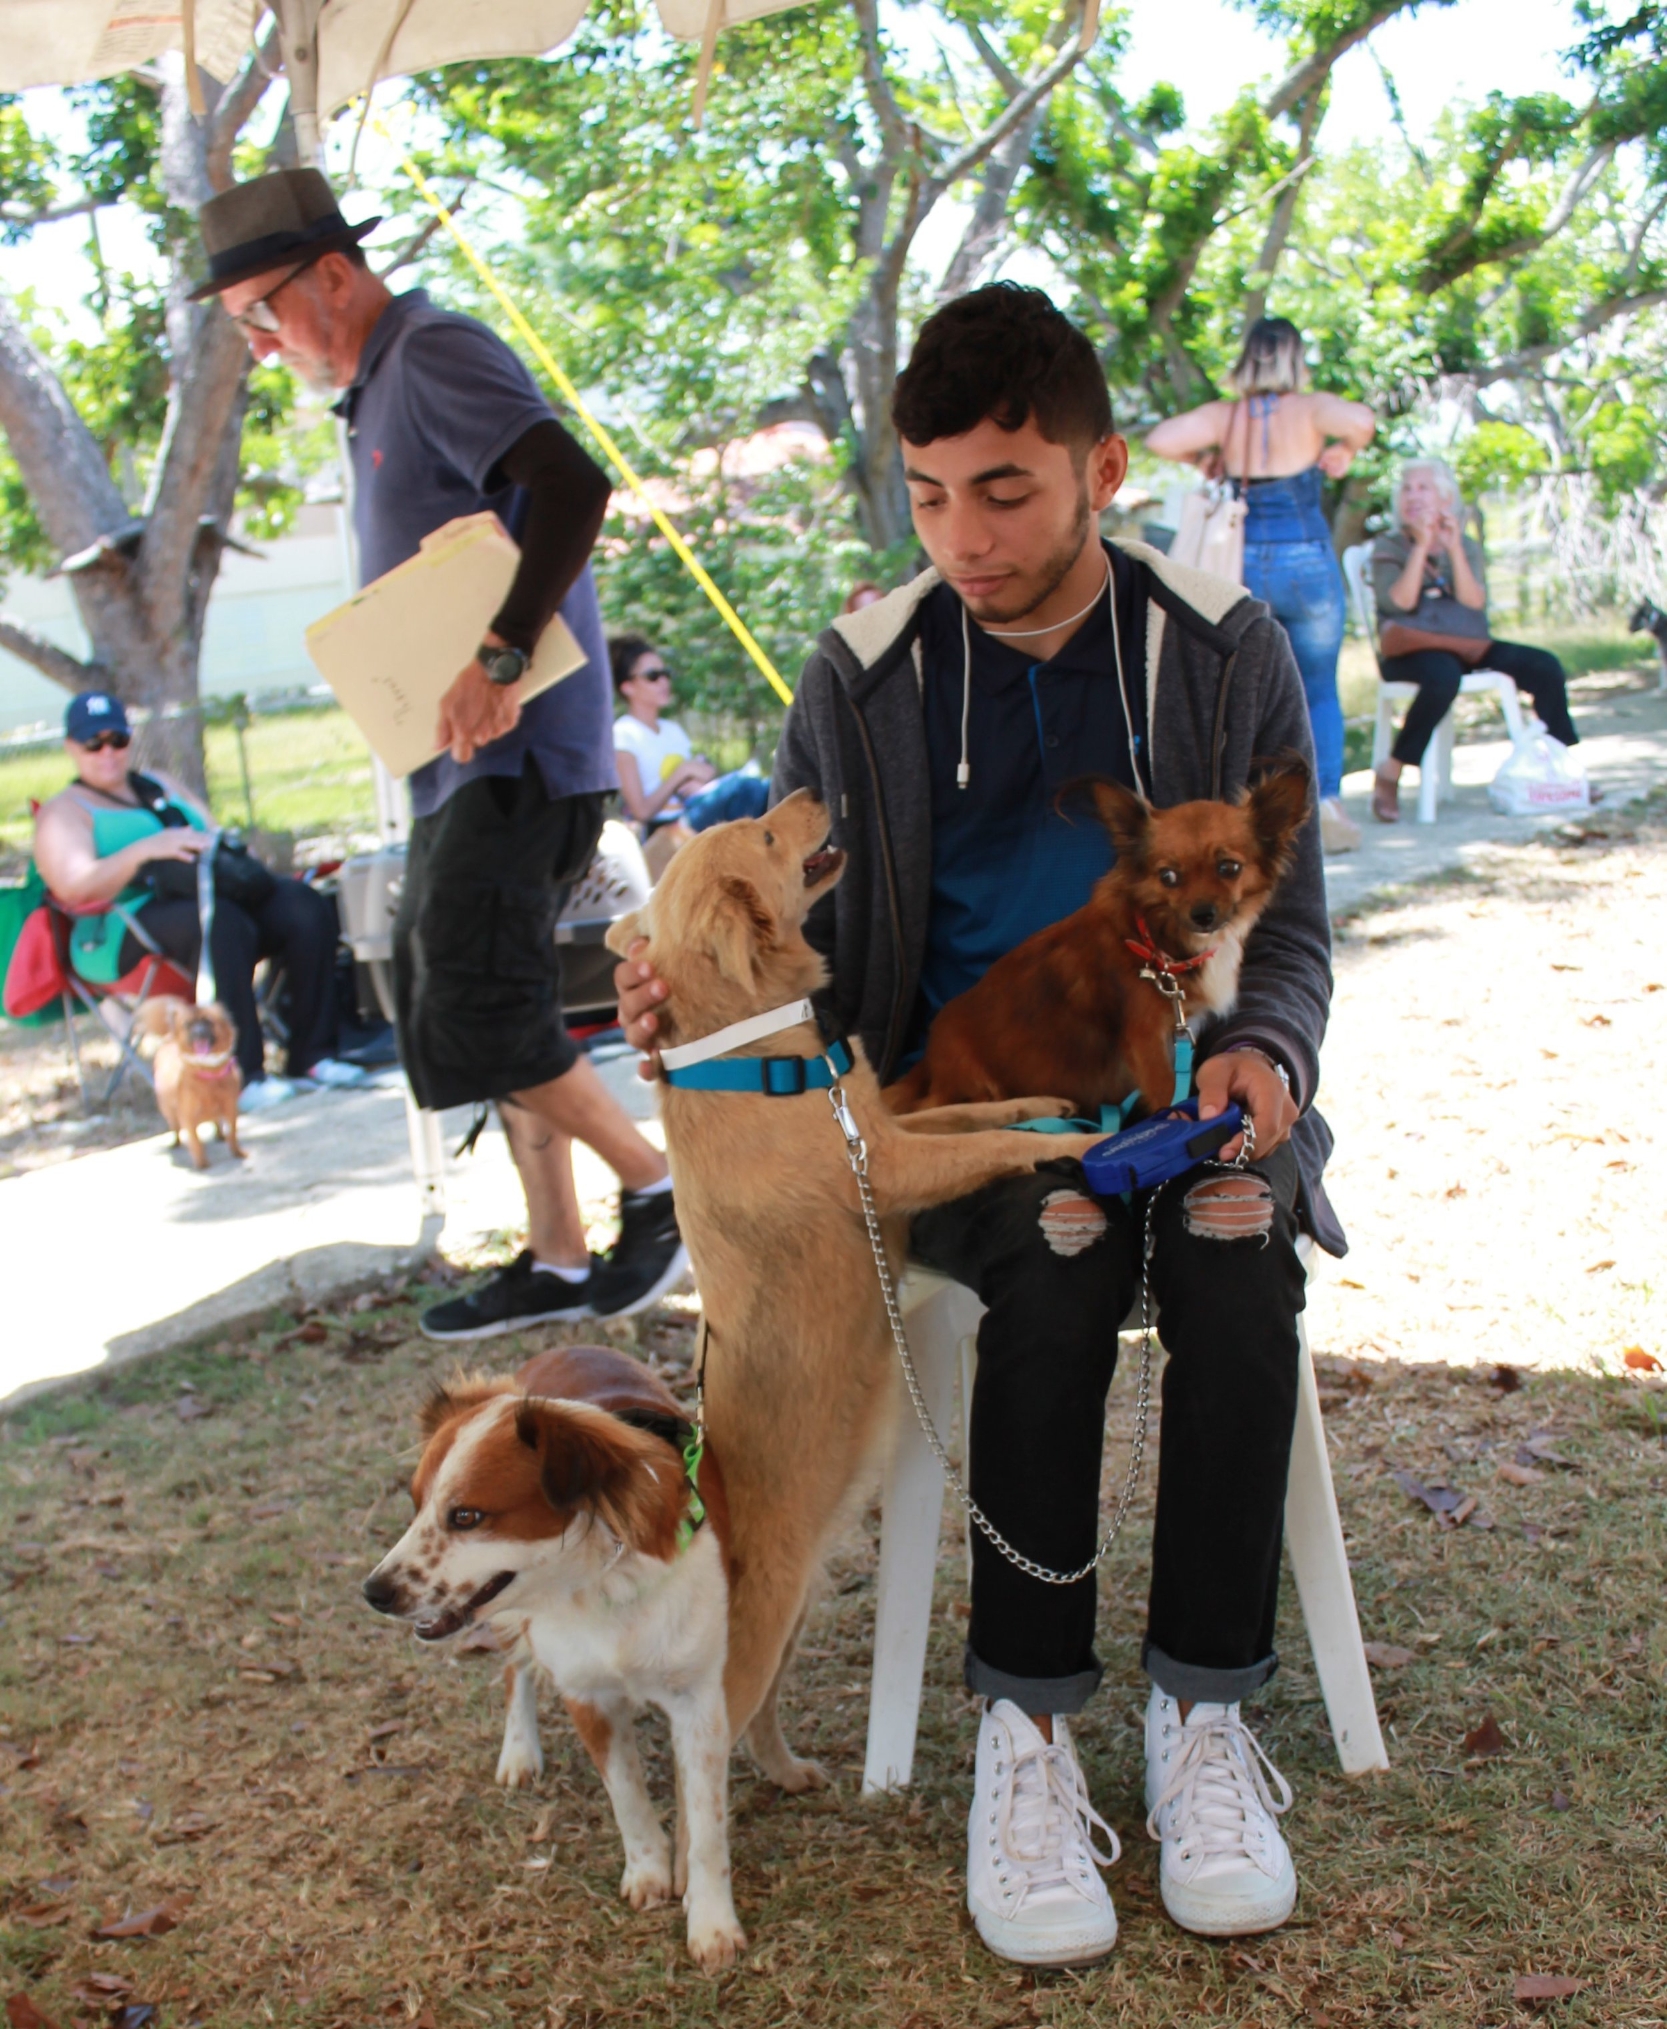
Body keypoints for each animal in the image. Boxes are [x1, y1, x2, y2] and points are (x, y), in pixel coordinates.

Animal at [135, 998, 244, 1176]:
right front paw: (202, 1163)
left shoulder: (230, 1107)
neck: (207, 1072)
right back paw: (176, 1142)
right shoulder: (187, 1116)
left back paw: (220, 1134)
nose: (198, 1032)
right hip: (168, 1111)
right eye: (188, 1025)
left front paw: (237, 1152)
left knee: (216, 1122)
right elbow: (195, 1142)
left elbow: (233, 1134)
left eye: (208, 1022)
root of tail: (169, 1039)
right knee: (175, 1128)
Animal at [365, 1347, 742, 1964]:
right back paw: (519, 1751)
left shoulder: (698, 1699)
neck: (598, 1581)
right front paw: (648, 1871)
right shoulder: (585, 1694)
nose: (372, 1592)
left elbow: (706, 1826)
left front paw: (711, 1922)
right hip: (509, 1622)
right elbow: (626, 1797)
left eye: (465, 1516)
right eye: (416, 1507)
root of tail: (565, 1348)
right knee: (514, 1670)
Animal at [604, 783, 1111, 1801]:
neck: (750, 1045)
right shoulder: (891, 1164)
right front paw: (1083, 1142)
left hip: (795, 1609)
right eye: (766, 834)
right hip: (755, 1640)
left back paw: (791, 1770)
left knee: (759, 1716)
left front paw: (1045, 1106)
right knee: (703, 1741)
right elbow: (986, 1145)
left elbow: (972, 1113)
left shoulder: (887, 1124)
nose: (806, 790)